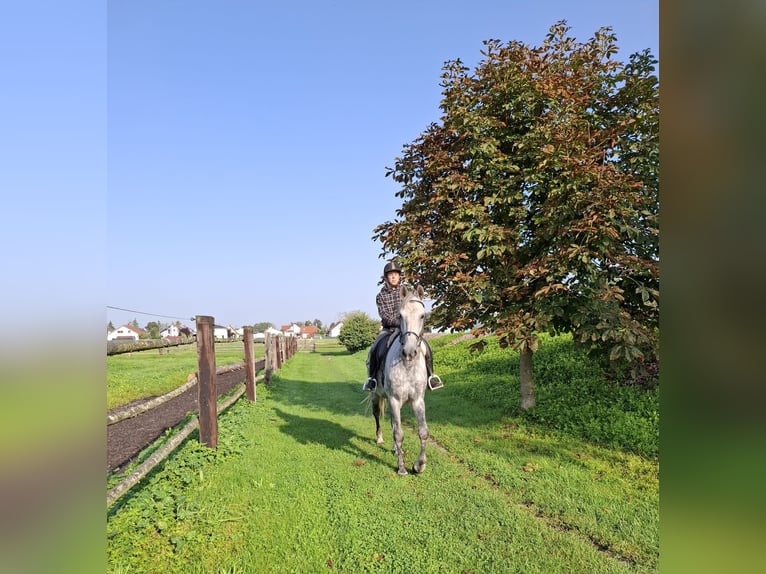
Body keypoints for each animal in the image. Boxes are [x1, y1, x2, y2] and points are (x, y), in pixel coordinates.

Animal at [374, 284, 432, 476]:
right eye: (400, 316)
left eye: (422, 315)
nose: (409, 352)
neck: (407, 365)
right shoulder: (394, 399)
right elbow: (399, 434)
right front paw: (401, 468)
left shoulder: (418, 400)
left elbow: (423, 432)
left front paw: (419, 465)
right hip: (377, 395)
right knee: (378, 416)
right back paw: (380, 439)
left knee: (393, 423)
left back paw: (394, 449)